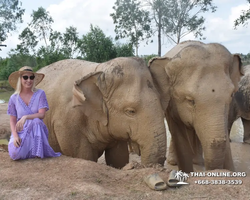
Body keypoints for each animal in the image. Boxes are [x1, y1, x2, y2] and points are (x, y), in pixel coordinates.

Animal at [148, 39, 242, 173]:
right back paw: (174, 162)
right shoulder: (172, 105)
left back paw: (197, 161)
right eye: (190, 101)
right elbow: (179, 134)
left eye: (231, 95)